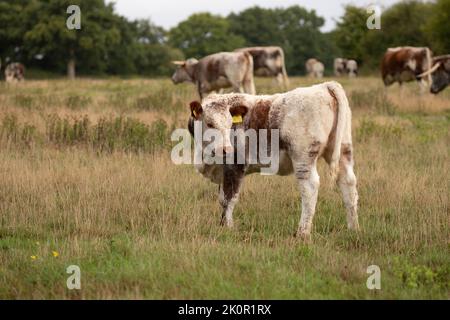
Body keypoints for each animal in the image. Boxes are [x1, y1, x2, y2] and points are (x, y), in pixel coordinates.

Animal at [186, 80, 358, 240]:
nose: (226, 149)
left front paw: (227, 227)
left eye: (230, 125)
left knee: (310, 188)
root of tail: (325, 85)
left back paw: (302, 233)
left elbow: (228, 198)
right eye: (210, 123)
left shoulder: (235, 165)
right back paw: (353, 228)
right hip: (344, 149)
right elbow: (222, 197)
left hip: (303, 156)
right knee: (348, 184)